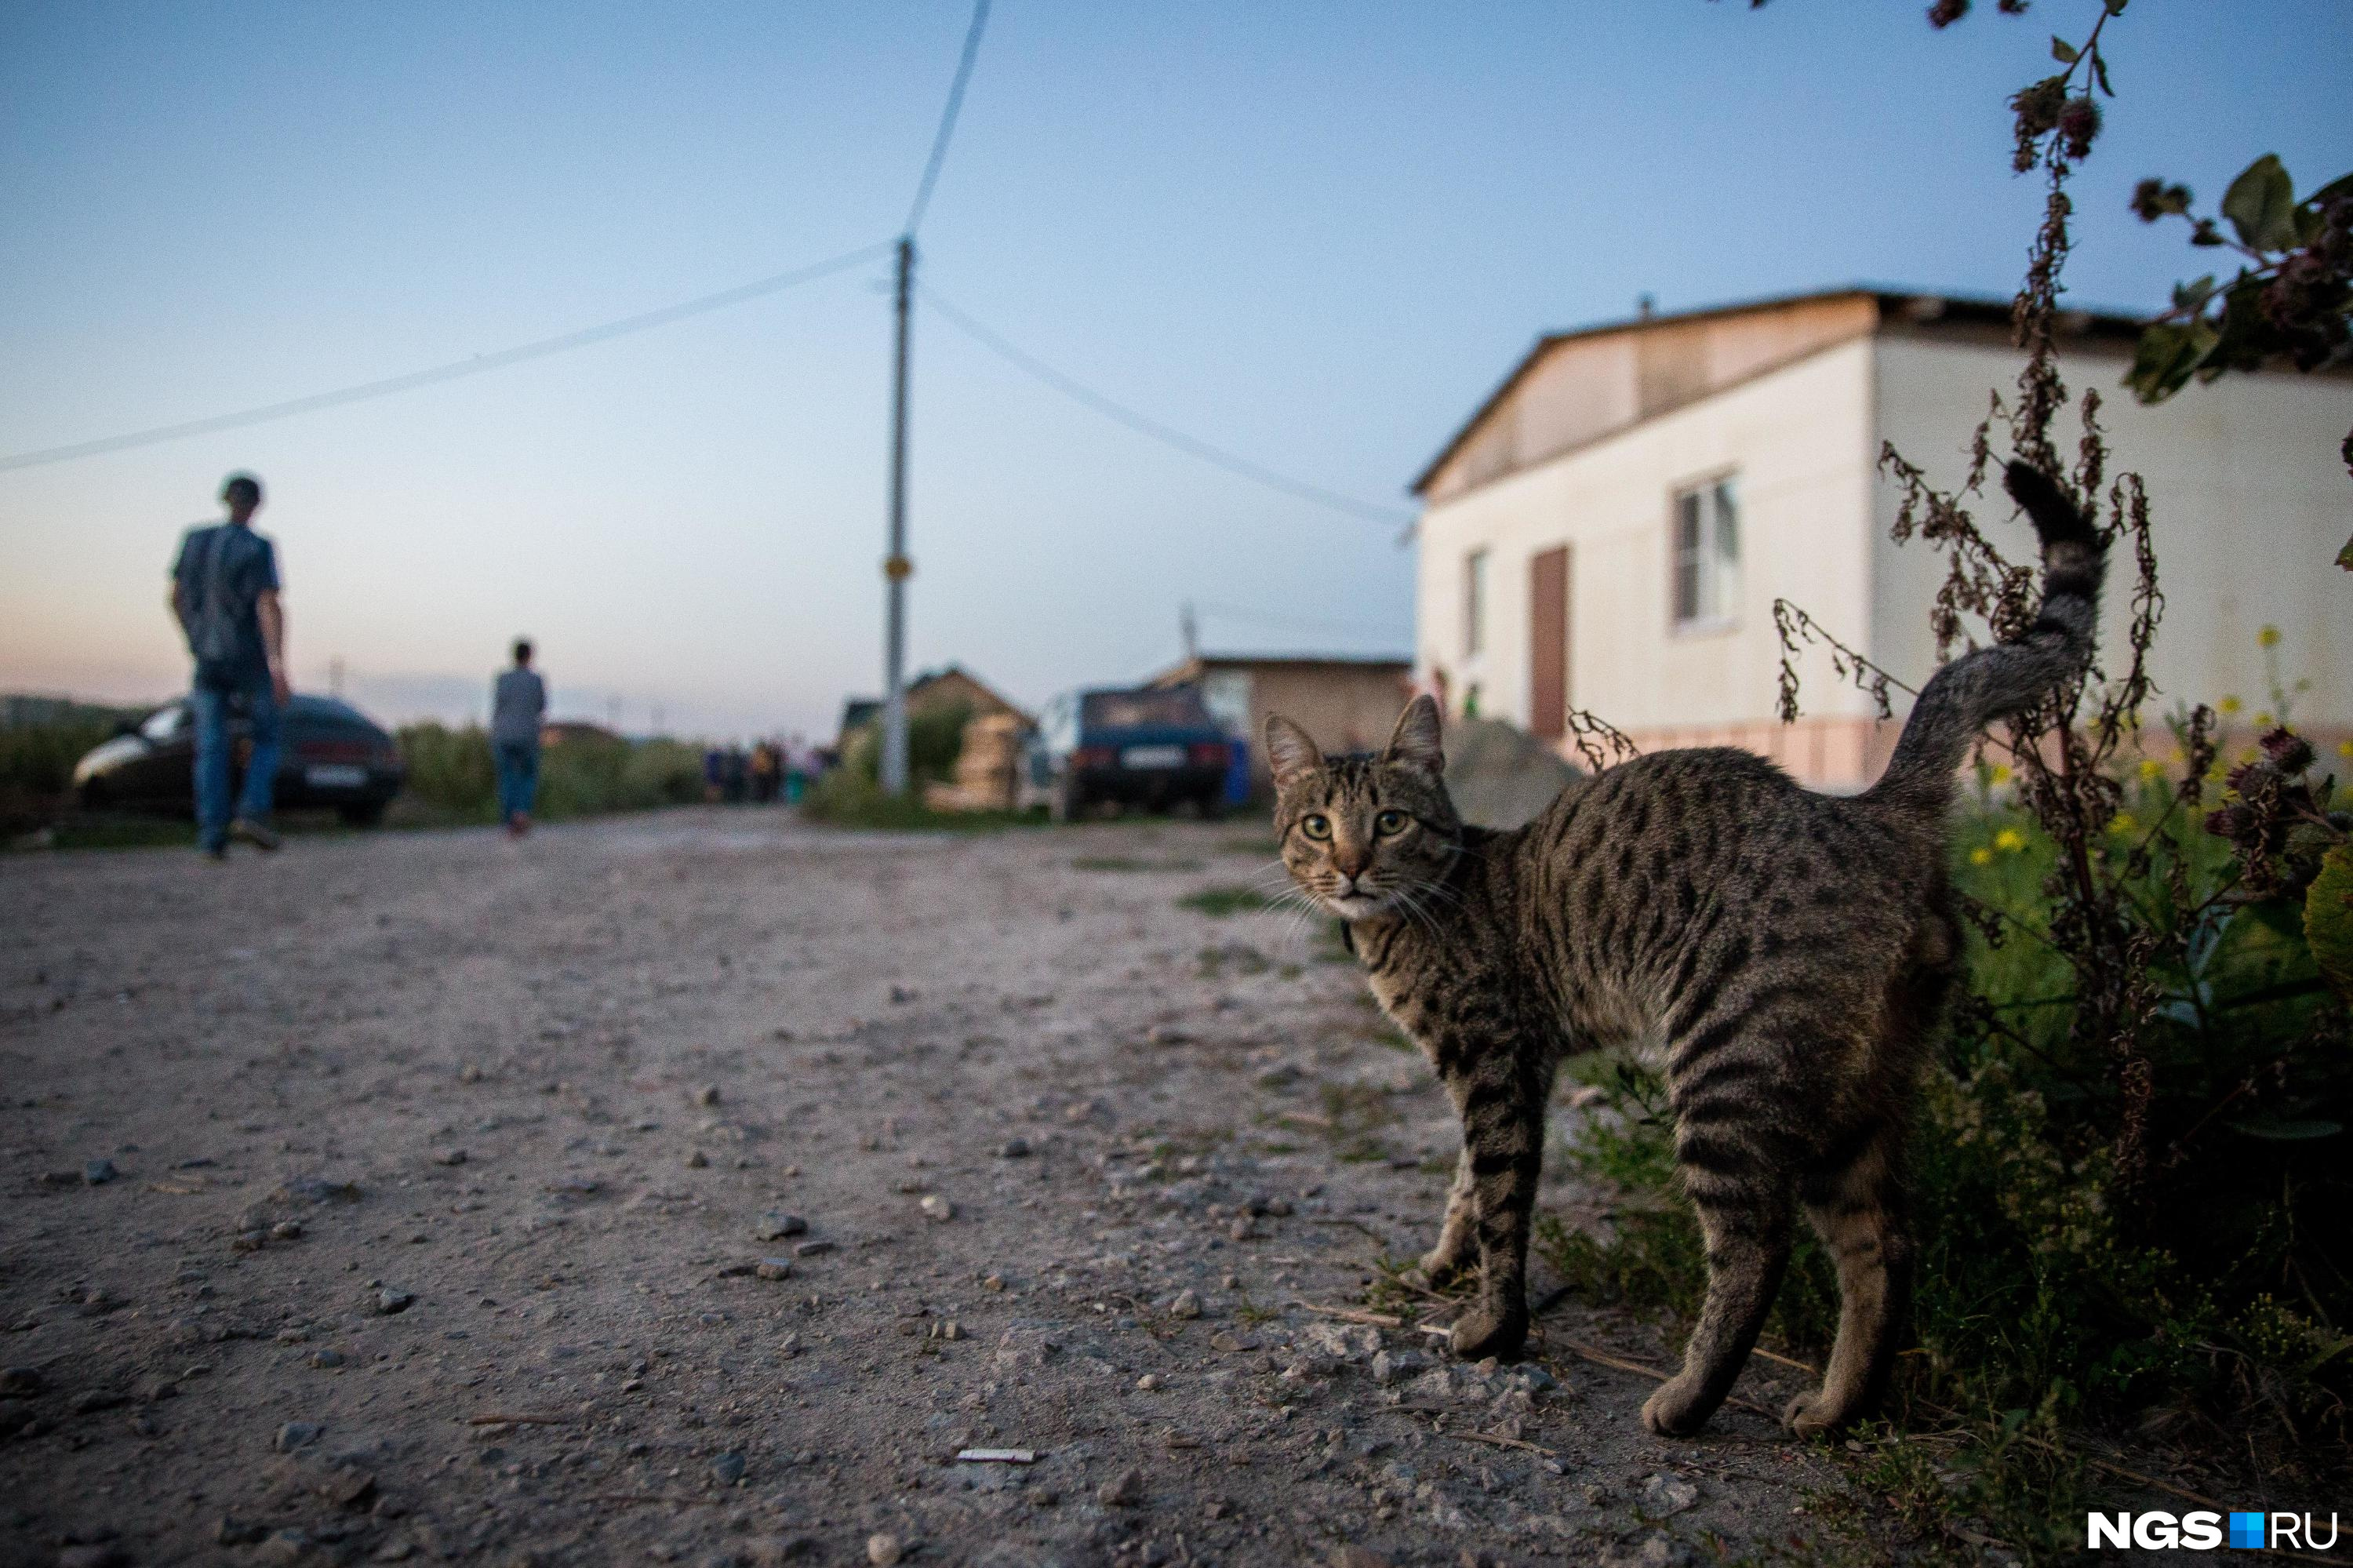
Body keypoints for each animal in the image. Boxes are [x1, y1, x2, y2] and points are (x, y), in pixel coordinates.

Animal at [1261, 461, 2108, 1431]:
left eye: (1391, 822)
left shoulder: (1495, 1061)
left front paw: (1491, 1324)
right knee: (1885, 1244)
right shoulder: (1511, 1067)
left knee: (1758, 1244)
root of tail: (1870, 807)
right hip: (1861, 1093)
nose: (1351, 866)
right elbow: (1465, 1185)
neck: (1415, 913)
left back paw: (1690, 1396)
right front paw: (1443, 1264)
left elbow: (1502, 1197)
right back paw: (1836, 1407)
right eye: (1317, 825)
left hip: (1726, 1066)